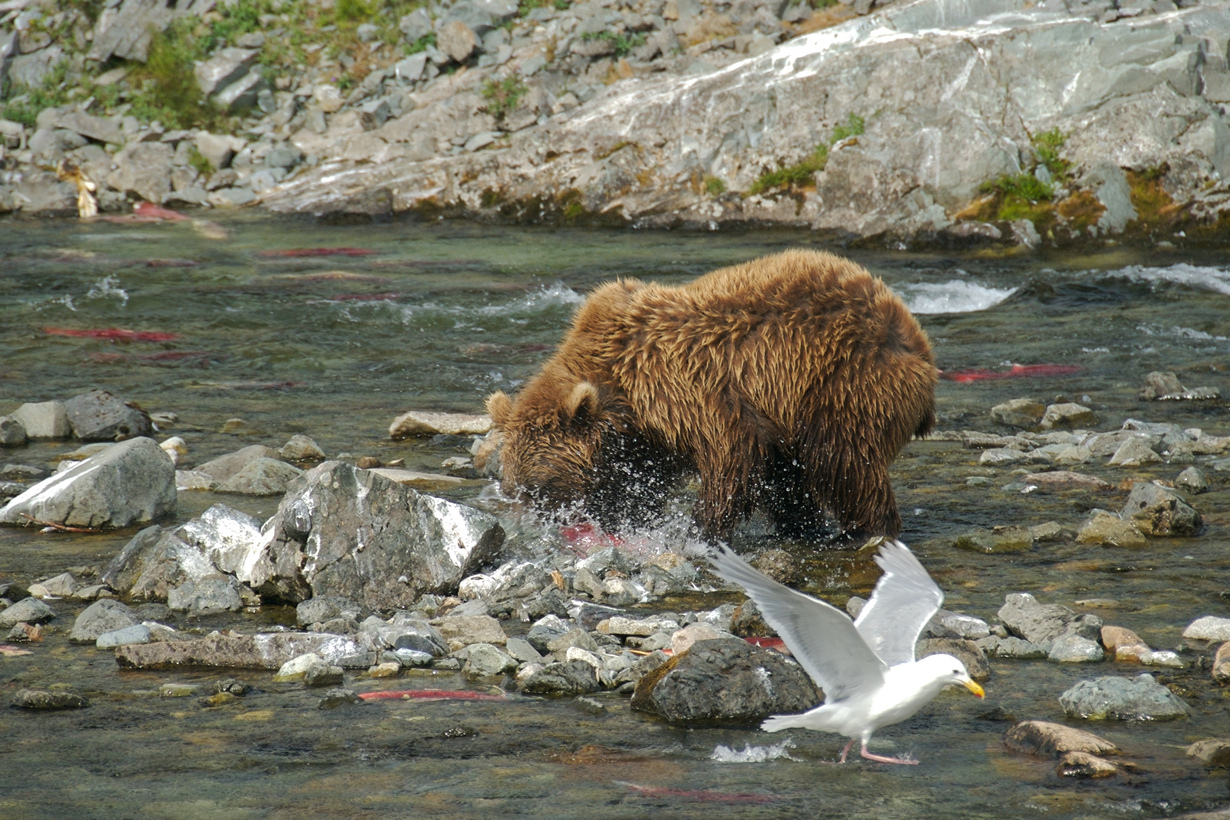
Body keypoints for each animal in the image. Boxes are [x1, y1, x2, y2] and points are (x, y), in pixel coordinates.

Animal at [484, 250, 934, 545]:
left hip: (844, 383)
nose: (538, 527)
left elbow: (731, 459)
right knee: (798, 471)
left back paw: (863, 531)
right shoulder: (644, 439)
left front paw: (697, 530)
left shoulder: (693, 389)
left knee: (843, 461)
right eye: (513, 487)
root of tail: (918, 341)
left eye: (541, 486)